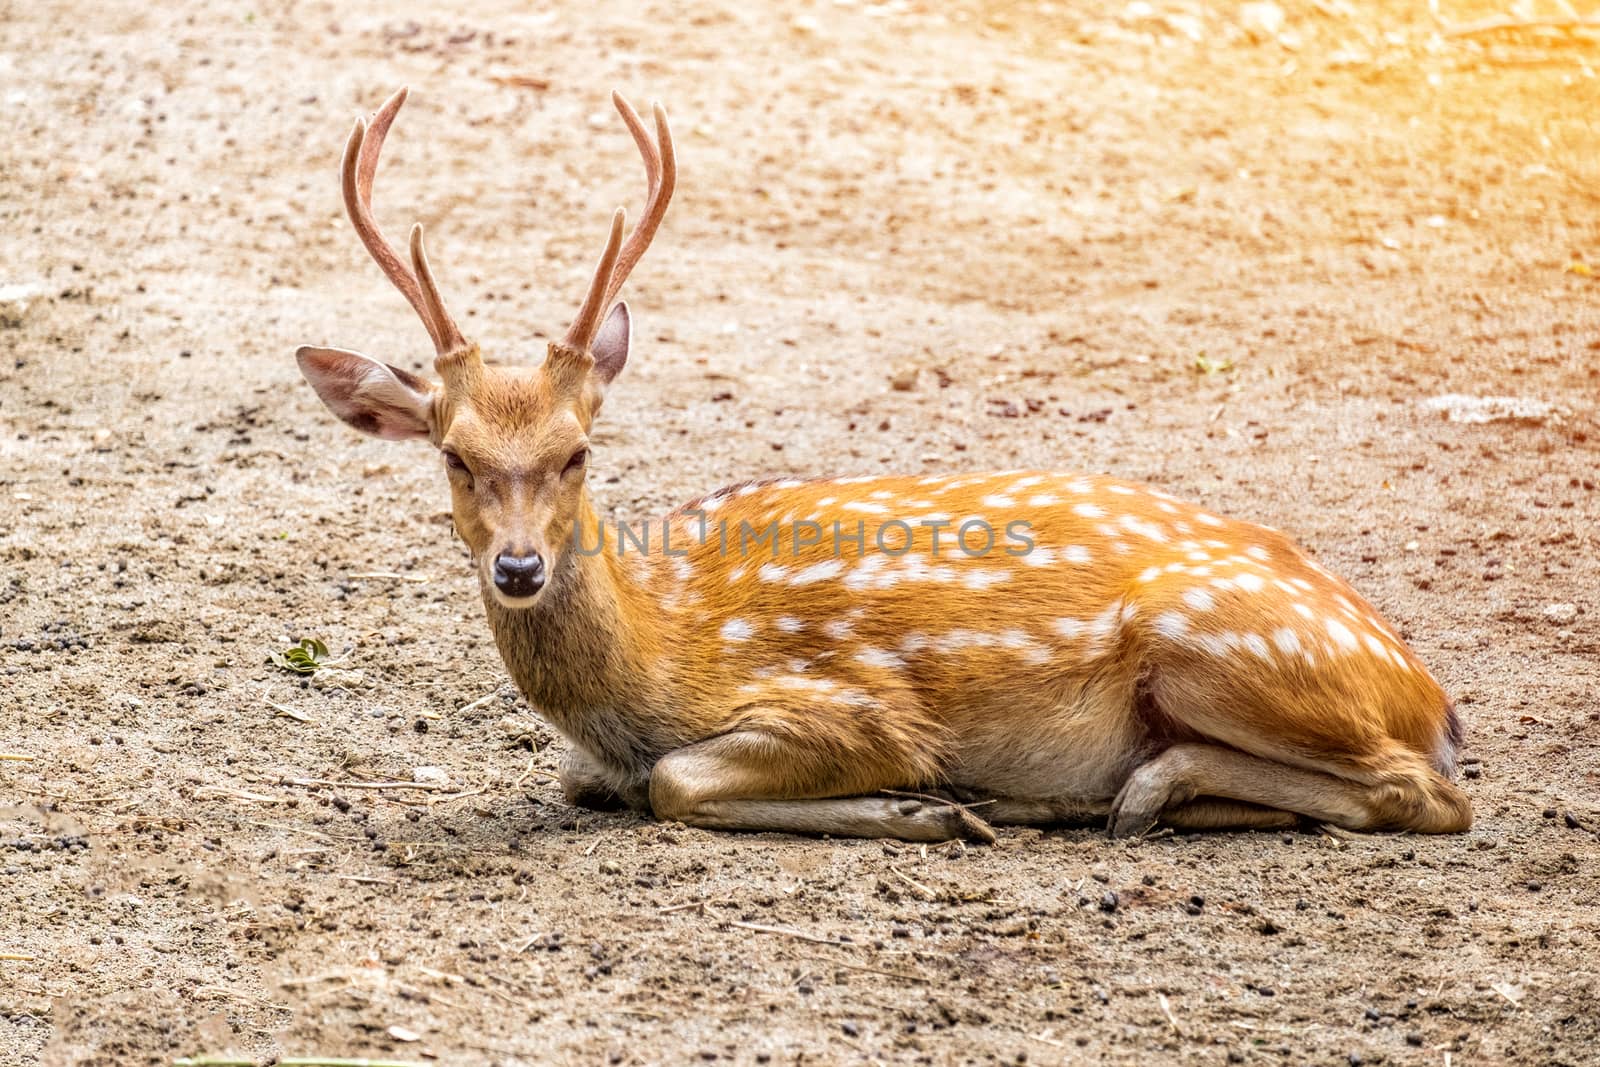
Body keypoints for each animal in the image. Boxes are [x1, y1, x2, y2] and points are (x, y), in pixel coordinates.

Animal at [294, 89, 1465, 844]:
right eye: (453, 454)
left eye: (579, 449)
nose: (520, 568)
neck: (661, 657)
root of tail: (1427, 692)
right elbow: (593, 778)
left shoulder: (852, 702)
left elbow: (674, 779)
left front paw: (924, 804)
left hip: (1209, 641)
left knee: (1423, 794)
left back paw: (1113, 791)